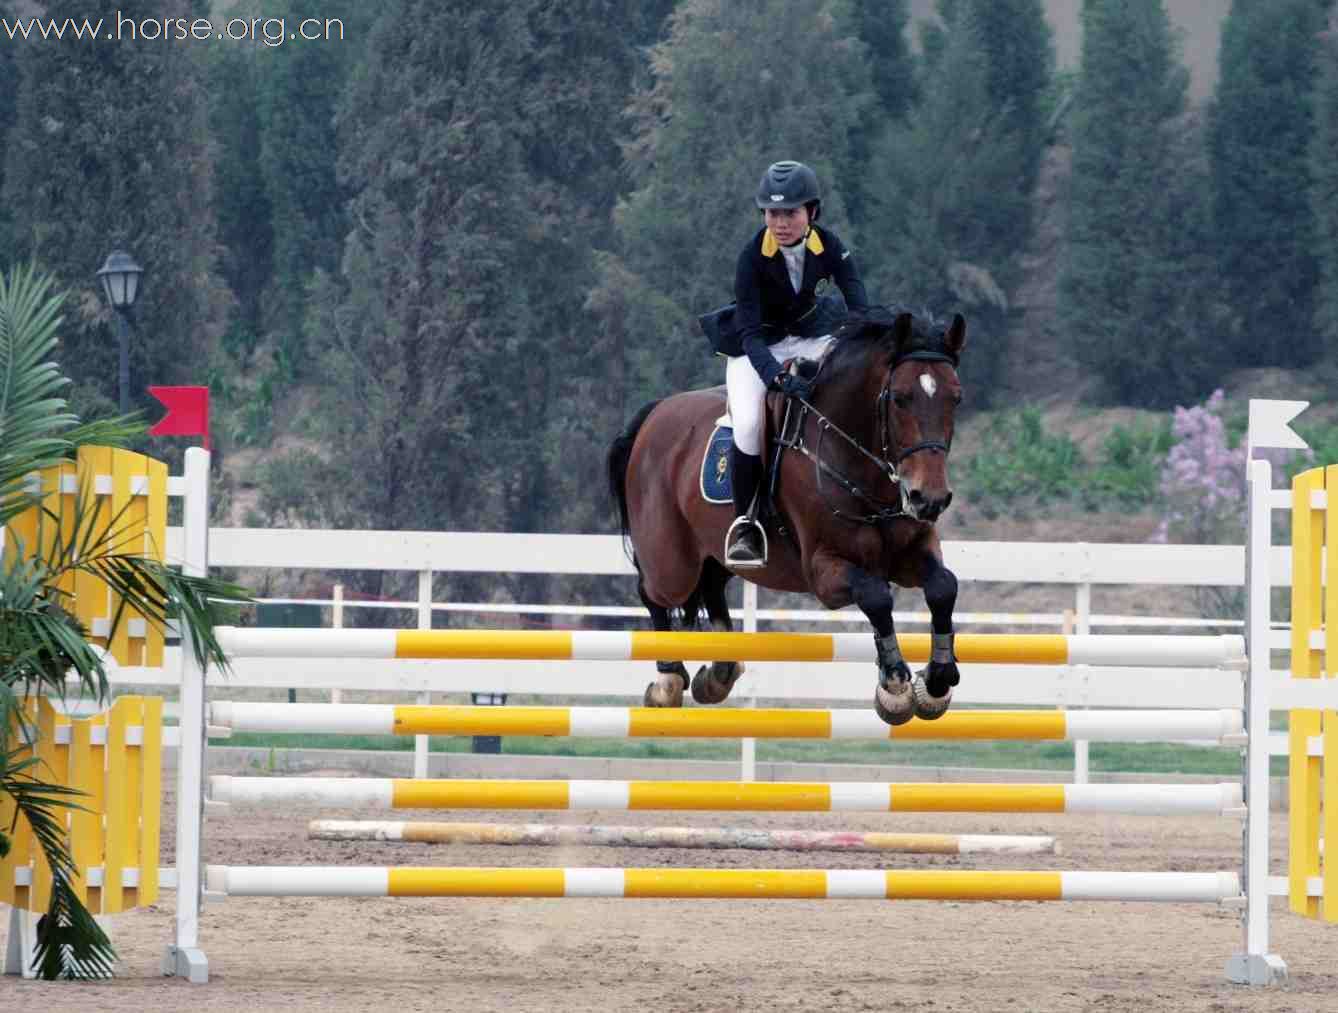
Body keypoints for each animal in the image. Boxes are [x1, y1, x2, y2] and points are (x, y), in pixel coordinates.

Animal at [604, 306, 963, 717]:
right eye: (900, 399)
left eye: (956, 398)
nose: (929, 499)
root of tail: (654, 413)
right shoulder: (823, 570)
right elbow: (875, 595)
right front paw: (895, 685)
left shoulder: (911, 553)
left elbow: (943, 586)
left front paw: (938, 678)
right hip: (672, 562)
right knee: (653, 593)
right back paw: (667, 682)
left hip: (713, 553)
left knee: (711, 588)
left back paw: (719, 673)